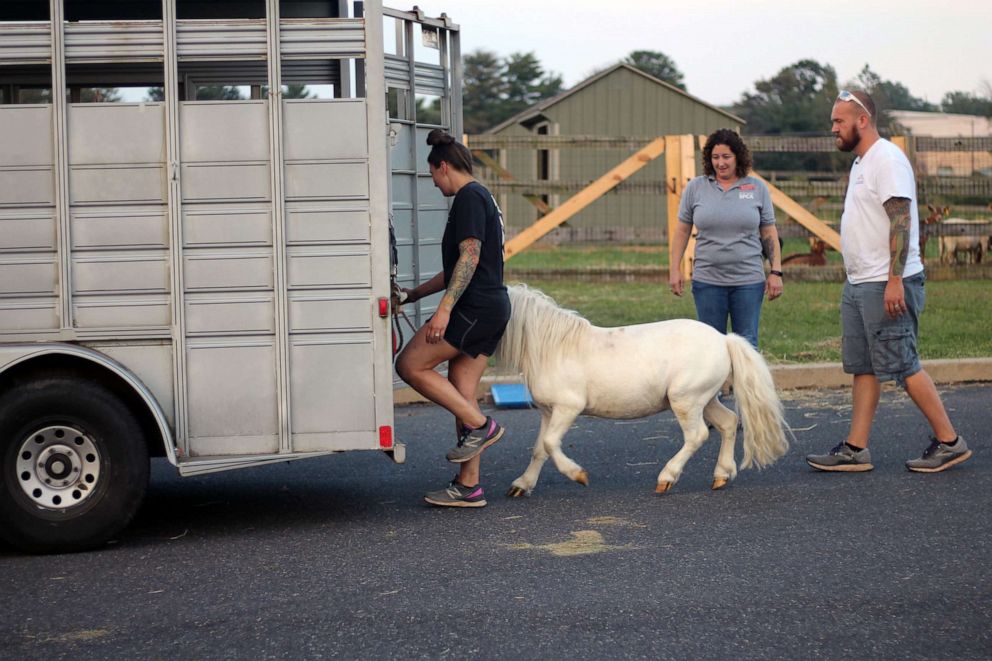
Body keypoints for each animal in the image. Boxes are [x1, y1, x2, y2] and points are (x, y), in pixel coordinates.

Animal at [496, 284, 792, 496]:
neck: (555, 348)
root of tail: (724, 339)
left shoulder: (568, 408)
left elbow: (549, 443)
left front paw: (578, 475)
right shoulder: (548, 412)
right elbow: (540, 449)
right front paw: (521, 485)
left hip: (685, 400)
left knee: (696, 436)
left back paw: (666, 478)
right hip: (705, 400)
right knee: (729, 423)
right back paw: (721, 475)